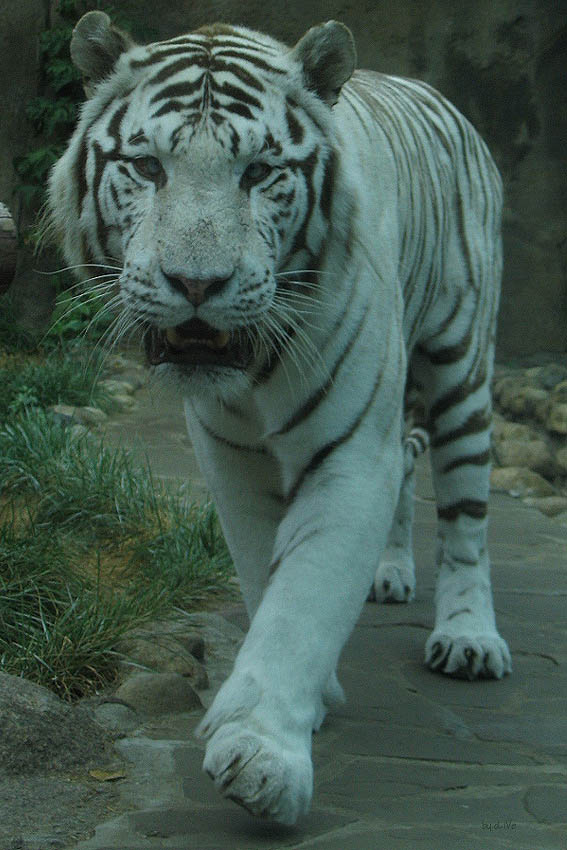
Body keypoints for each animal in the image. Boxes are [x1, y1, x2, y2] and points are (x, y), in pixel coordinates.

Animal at [48, 11, 512, 824]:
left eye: (259, 173)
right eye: (148, 167)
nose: (196, 283)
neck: (251, 376)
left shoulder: (351, 454)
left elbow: (302, 602)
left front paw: (263, 754)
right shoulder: (229, 455)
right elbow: (267, 574)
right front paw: (306, 698)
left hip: (462, 363)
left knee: (465, 518)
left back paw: (467, 636)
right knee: (410, 464)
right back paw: (389, 572)